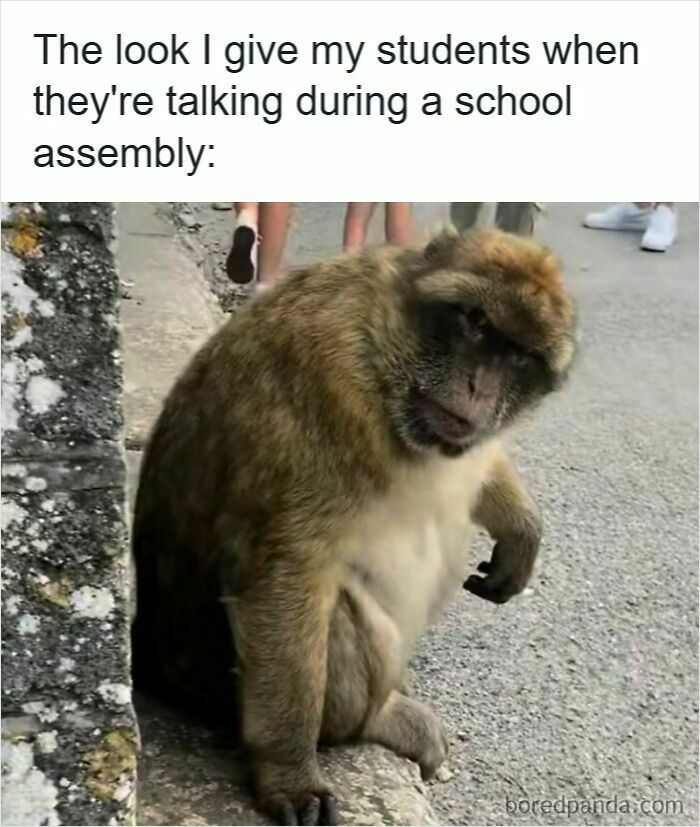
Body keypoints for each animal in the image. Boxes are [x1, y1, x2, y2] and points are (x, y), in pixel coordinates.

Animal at [132, 228, 576, 826]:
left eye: (519, 355)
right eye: (477, 322)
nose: (479, 387)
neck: (382, 349)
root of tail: (152, 655)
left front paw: (522, 528)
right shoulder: (325, 385)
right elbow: (285, 574)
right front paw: (288, 772)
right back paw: (379, 720)